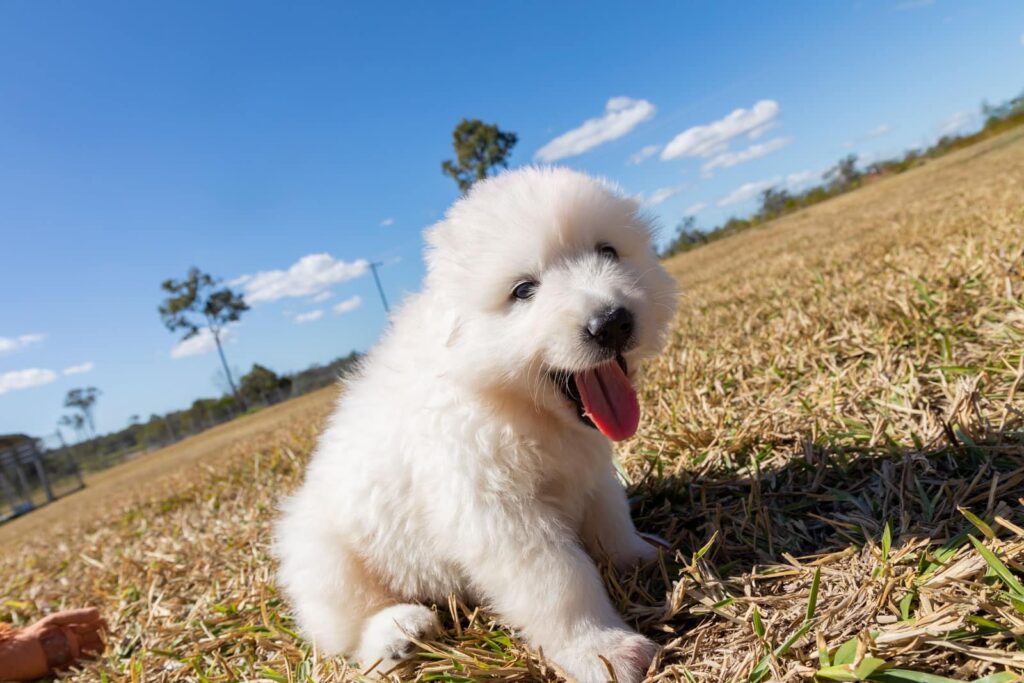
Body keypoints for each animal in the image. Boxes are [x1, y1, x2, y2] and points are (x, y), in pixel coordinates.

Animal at [274, 166, 679, 683]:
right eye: (524, 290)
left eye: (607, 251)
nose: (611, 322)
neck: (515, 405)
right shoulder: (498, 512)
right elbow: (559, 580)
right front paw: (601, 650)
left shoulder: (591, 473)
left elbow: (611, 522)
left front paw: (641, 555)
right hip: (324, 558)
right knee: (348, 629)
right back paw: (398, 633)